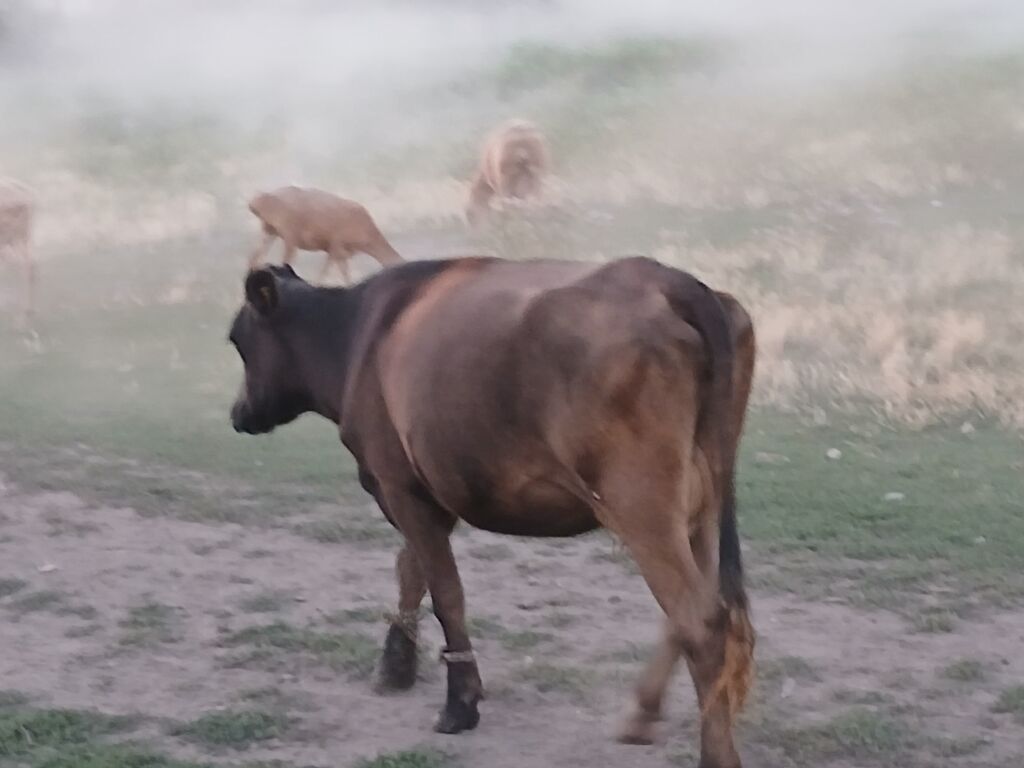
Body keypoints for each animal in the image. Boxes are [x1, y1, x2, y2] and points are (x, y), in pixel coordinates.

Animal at [227, 255, 756, 767]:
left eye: (238, 340)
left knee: (702, 623)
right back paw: (642, 713)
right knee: (703, 610)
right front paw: (397, 664)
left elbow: (445, 593)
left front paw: (460, 702)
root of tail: (670, 280)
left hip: (640, 502)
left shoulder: (398, 484)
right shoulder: (426, 487)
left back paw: (716, 755)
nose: (238, 413)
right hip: (699, 500)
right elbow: (411, 571)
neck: (356, 335)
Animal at [248, 186, 403, 285]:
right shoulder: (336, 245)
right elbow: (324, 273)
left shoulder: (340, 252)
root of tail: (255, 201)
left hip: (269, 230)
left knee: (255, 258)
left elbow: (345, 276)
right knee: (283, 262)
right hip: (289, 232)